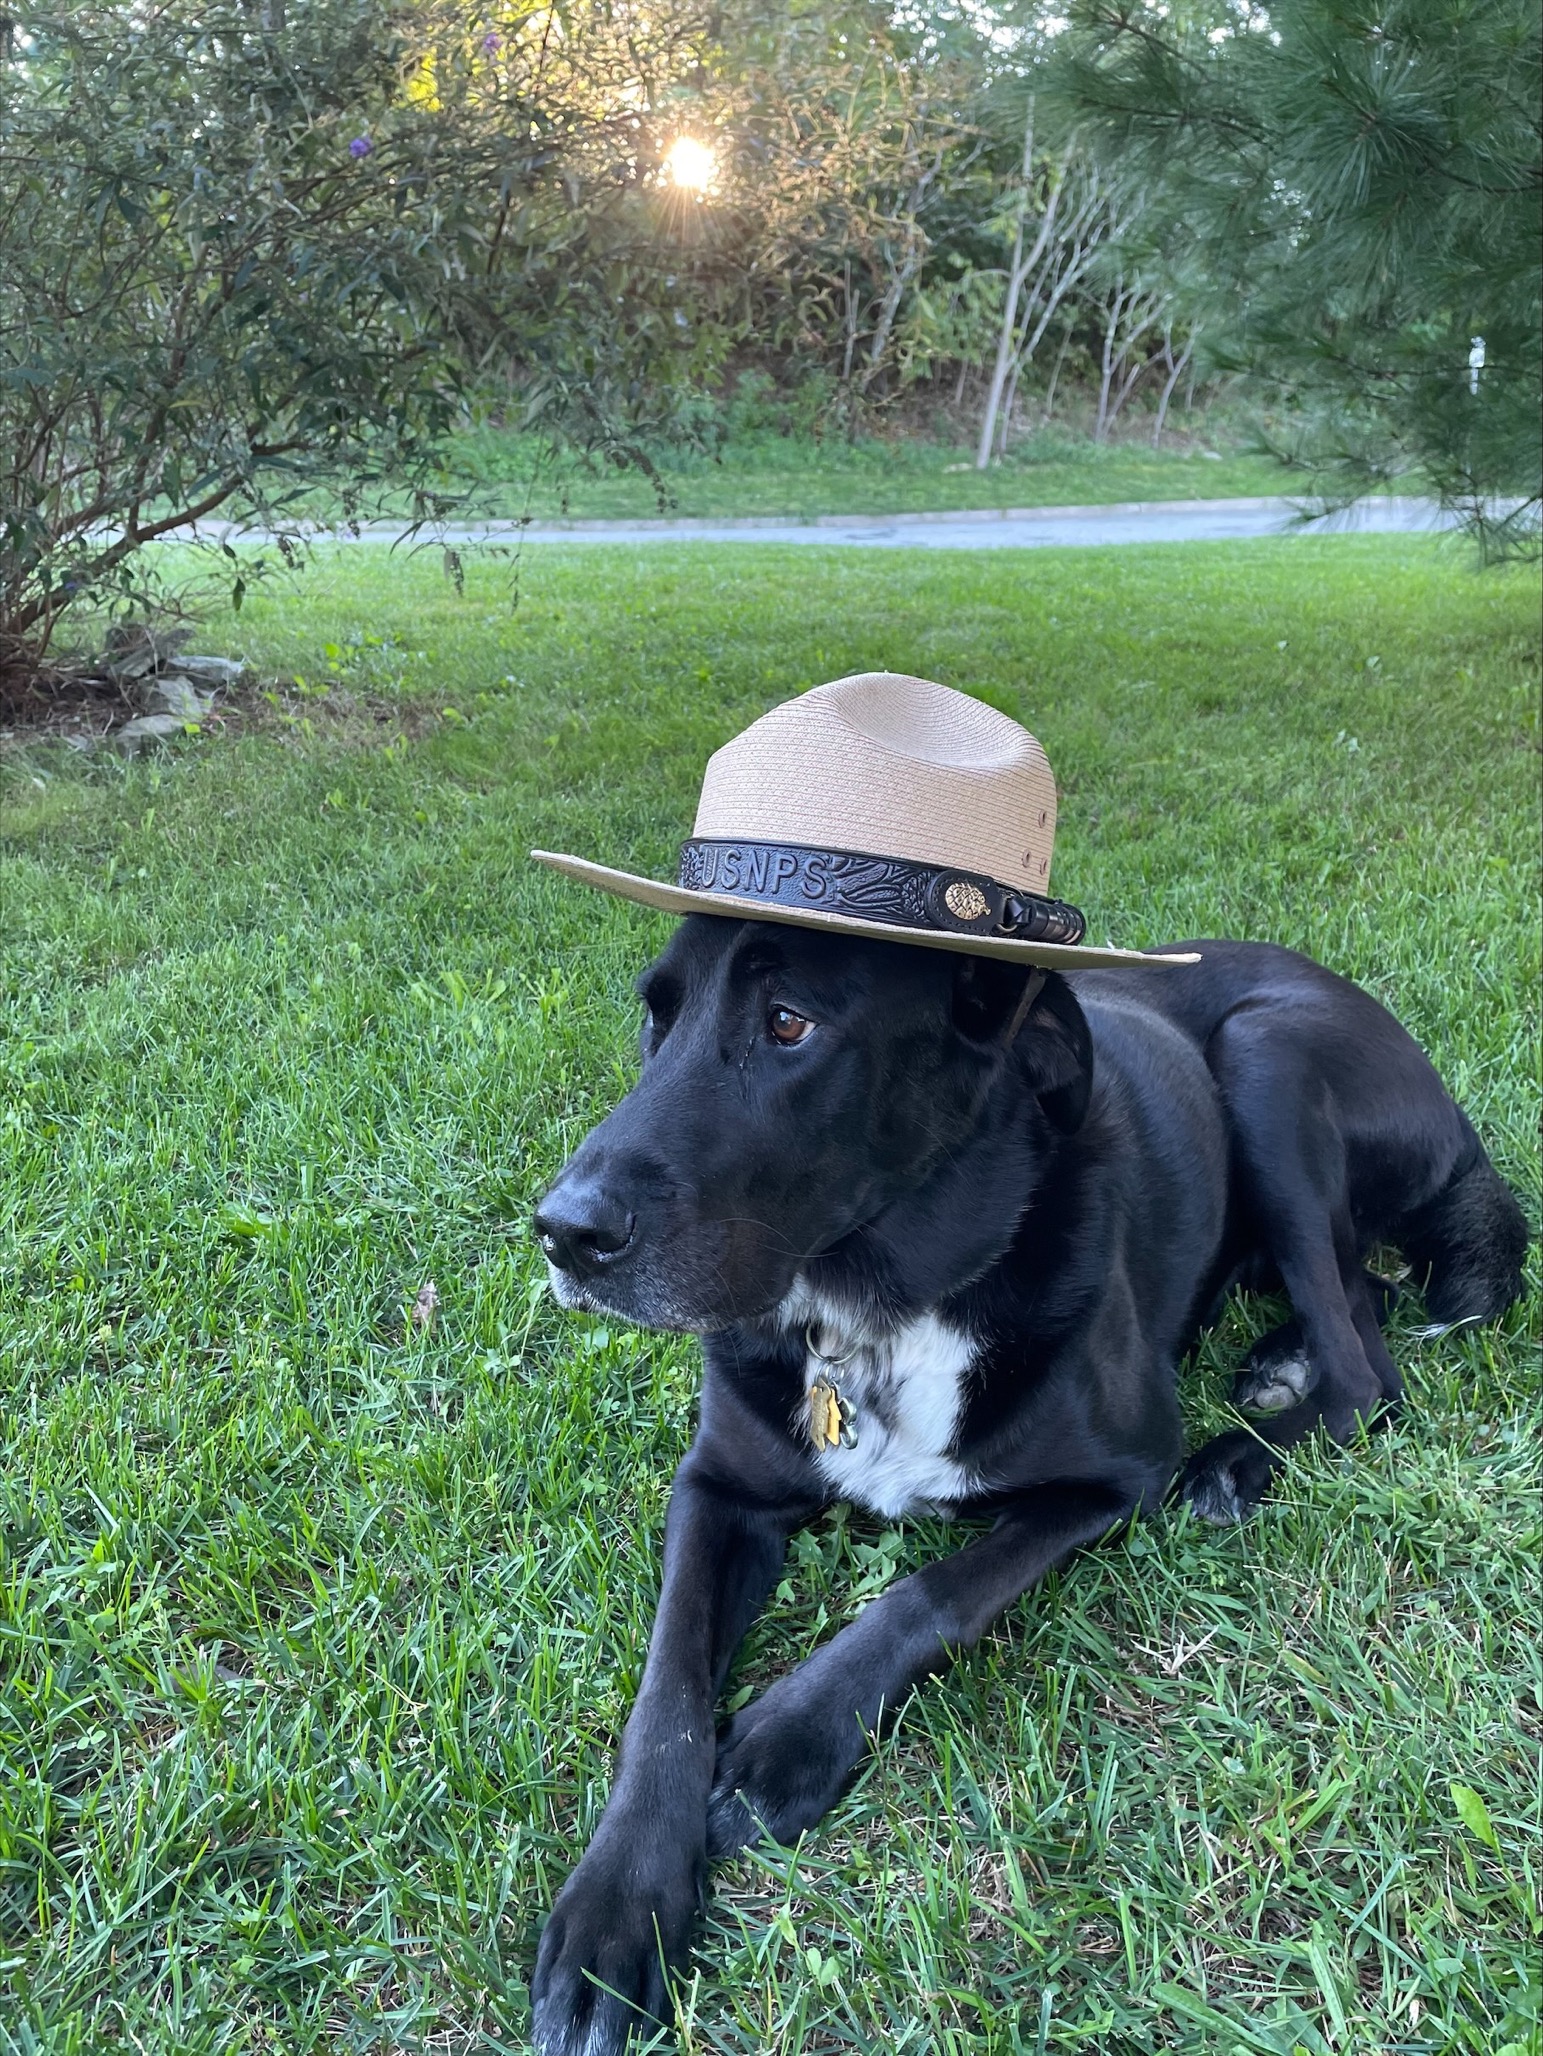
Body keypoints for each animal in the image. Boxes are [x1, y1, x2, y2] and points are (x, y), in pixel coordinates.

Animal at [530, 933, 1522, 2056]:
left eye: (789, 1022)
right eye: (656, 1015)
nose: (562, 1232)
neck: (881, 1309)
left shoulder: (1113, 1479)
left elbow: (930, 1594)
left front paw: (786, 1742)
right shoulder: (716, 1485)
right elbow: (666, 1689)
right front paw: (615, 1910)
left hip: (1265, 1058)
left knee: (1369, 1375)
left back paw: (1242, 1453)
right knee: (1368, 1303)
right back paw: (1279, 1352)